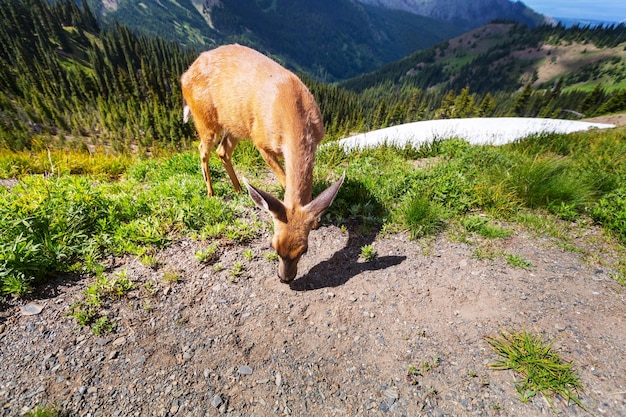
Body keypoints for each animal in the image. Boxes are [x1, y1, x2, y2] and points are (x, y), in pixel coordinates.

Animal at [180, 43, 344, 282]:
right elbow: (284, 179)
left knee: (222, 151)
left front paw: (313, 218)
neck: (293, 112)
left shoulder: (316, 142)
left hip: (235, 124)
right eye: (273, 246)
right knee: (203, 148)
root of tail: (185, 74)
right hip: (205, 119)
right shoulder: (261, 142)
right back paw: (211, 192)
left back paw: (239, 189)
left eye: (304, 250)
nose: (285, 278)